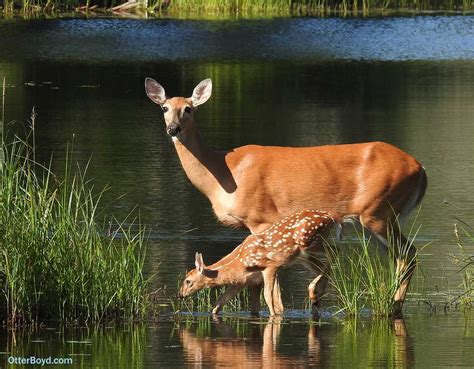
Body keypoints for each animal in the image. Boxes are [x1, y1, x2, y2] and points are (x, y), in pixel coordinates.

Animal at [144, 77, 426, 314]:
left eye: (189, 109)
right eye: (164, 108)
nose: (173, 129)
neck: (223, 174)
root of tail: (420, 170)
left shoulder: (261, 219)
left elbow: (269, 286)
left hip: (379, 212)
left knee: (409, 254)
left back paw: (390, 304)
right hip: (377, 221)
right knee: (399, 257)